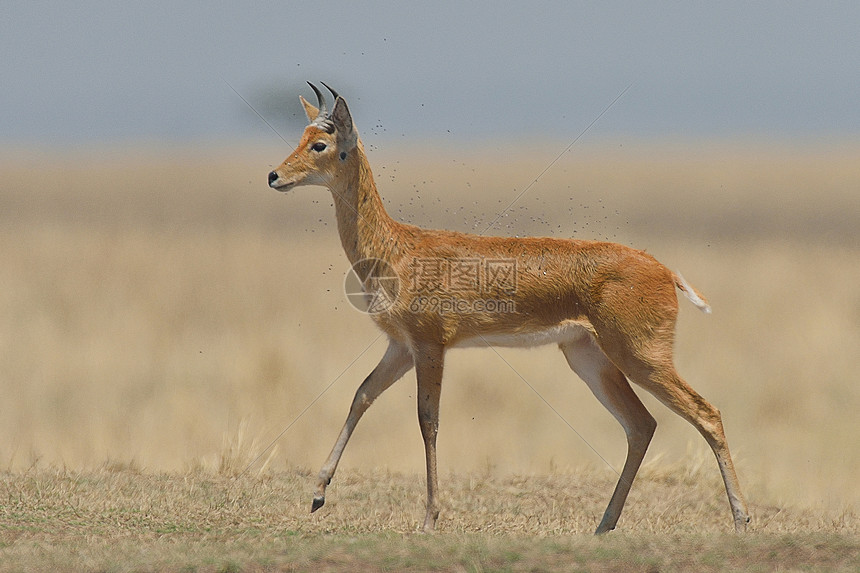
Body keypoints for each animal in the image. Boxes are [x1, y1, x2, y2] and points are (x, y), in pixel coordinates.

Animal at [266, 82, 748, 536]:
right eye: (303, 135)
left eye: (320, 143)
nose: (273, 176)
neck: (396, 247)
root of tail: (664, 270)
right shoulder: (400, 347)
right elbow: (362, 395)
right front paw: (317, 495)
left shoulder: (429, 346)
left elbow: (428, 421)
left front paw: (430, 519)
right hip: (589, 357)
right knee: (641, 425)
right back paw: (603, 524)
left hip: (640, 357)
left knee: (706, 413)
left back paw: (742, 520)